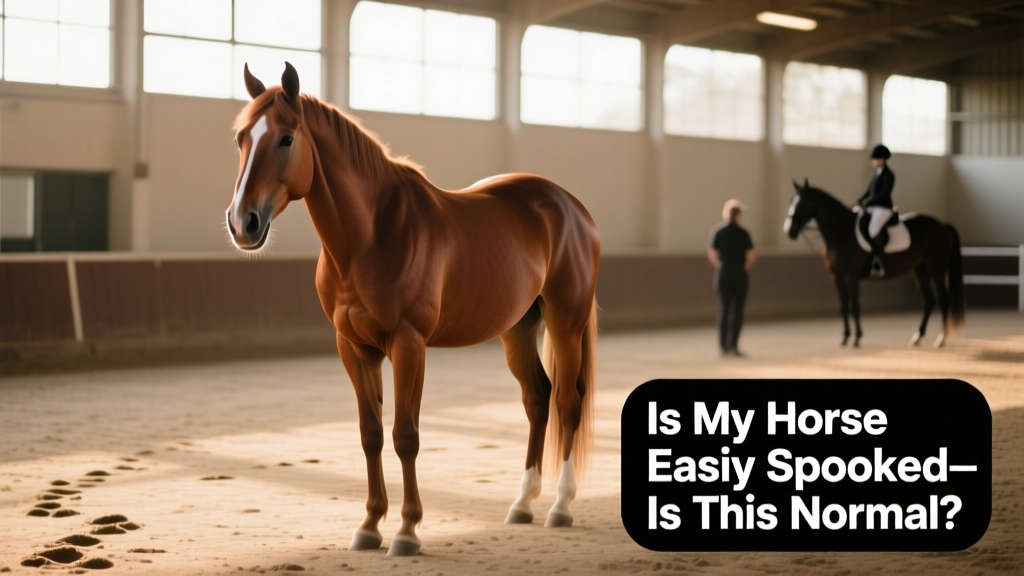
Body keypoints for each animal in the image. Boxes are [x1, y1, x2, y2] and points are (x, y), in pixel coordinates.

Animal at [224, 63, 599, 557]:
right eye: (241, 139)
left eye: (286, 139)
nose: (242, 223)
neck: (371, 237)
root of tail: (572, 208)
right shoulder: (353, 348)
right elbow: (370, 434)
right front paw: (368, 526)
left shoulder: (408, 344)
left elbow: (405, 435)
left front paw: (407, 531)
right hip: (517, 328)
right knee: (537, 399)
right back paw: (522, 504)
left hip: (564, 321)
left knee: (567, 402)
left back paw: (560, 507)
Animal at [784, 180, 964, 348]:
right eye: (791, 200)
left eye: (803, 203)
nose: (789, 231)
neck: (840, 231)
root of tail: (943, 225)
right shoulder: (835, 276)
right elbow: (843, 307)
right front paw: (845, 338)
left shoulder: (851, 276)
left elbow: (854, 306)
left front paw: (857, 338)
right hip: (920, 269)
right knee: (929, 301)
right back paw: (917, 337)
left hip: (937, 268)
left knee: (943, 299)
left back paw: (941, 339)